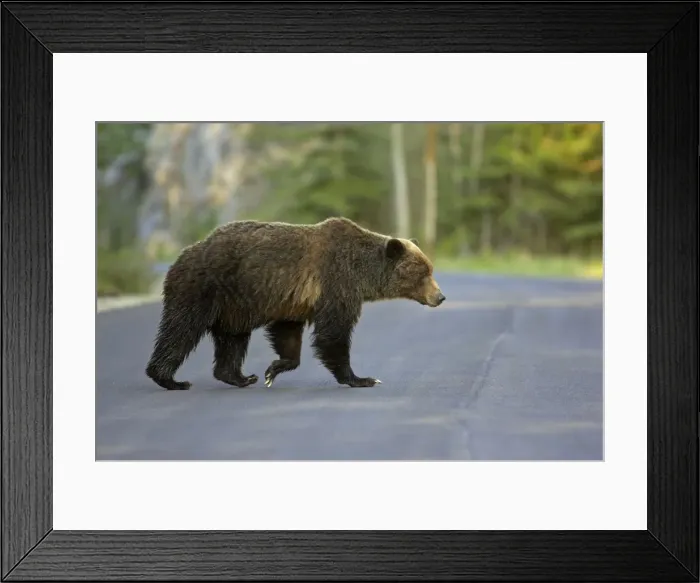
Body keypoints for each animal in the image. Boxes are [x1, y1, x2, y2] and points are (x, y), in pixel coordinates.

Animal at [145, 216, 445, 391]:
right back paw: (170, 378)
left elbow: (287, 332)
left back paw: (240, 376)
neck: (363, 273)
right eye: (424, 272)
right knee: (181, 330)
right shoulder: (336, 282)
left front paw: (273, 369)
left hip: (234, 305)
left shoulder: (294, 300)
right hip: (203, 287)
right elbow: (333, 333)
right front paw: (361, 378)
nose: (440, 297)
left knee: (232, 339)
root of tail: (184, 253)